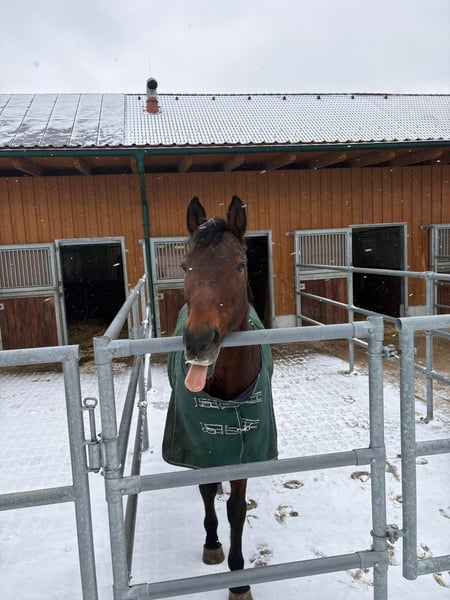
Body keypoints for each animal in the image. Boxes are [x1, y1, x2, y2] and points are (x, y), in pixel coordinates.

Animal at [162, 196, 277, 600]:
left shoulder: (246, 449)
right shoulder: (202, 449)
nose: (199, 341)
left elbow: (237, 509)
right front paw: (212, 544)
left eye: (240, 265)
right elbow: (206, 490)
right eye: (185, 265)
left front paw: (239, 580)